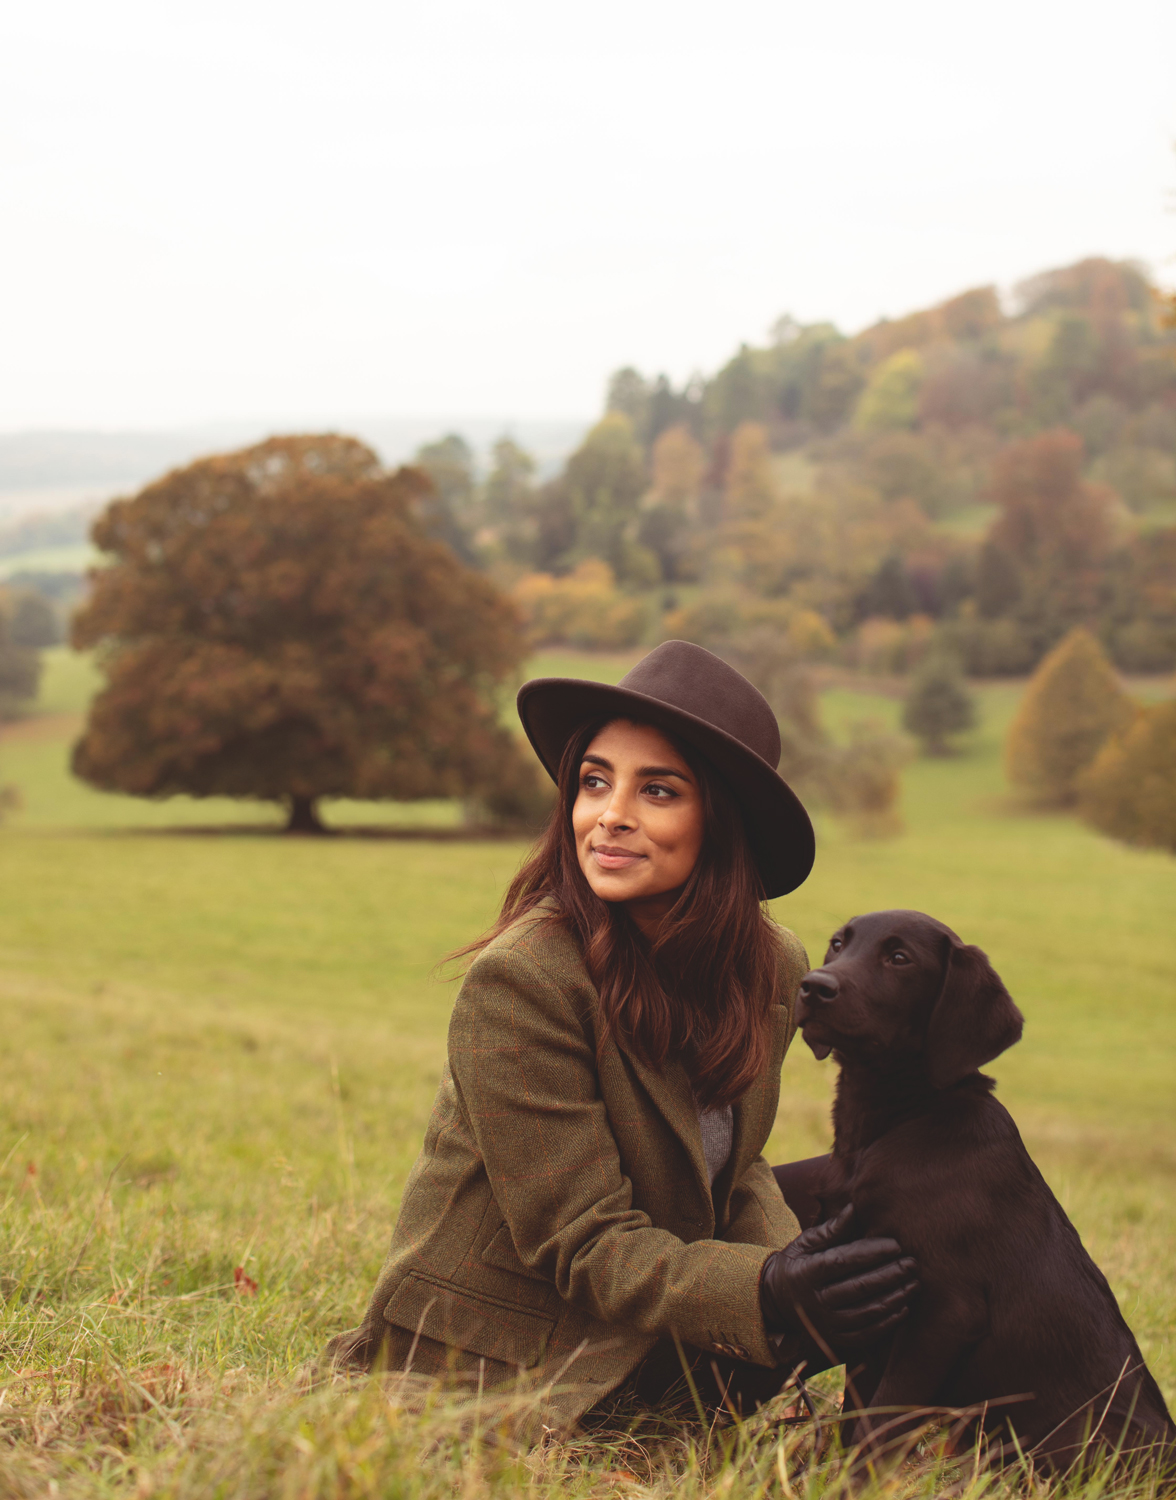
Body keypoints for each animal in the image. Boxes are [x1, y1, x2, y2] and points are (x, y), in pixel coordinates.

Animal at [792, 906, 1164, 1470]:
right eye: (838, 944)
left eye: (899, 958)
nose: (814, 985)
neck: (900, 1119)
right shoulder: (869, 1297)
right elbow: (858, 1411)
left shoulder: (946, 1309)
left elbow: (881, 1421)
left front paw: (851, 1479)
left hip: (1079, 1434)